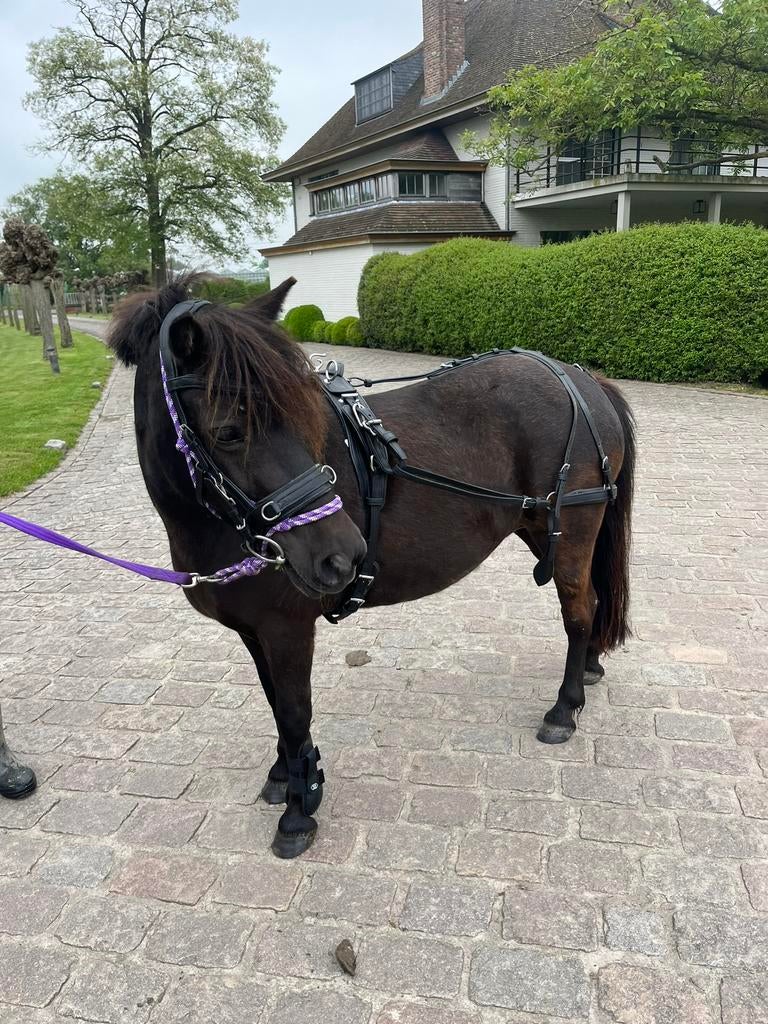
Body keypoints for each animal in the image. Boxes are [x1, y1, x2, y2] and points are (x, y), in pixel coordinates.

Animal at [108, 275, 636, 859]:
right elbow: (275, 702)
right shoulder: (253, 631)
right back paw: (589, 669)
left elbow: (295, 711)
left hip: (571, 535)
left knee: (579, 610)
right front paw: (284, 775)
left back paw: (565, 707)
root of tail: (579, 379)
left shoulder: (286, 628)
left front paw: (299, 810)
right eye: (228, 431)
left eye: (304, 415)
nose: (343, 553)